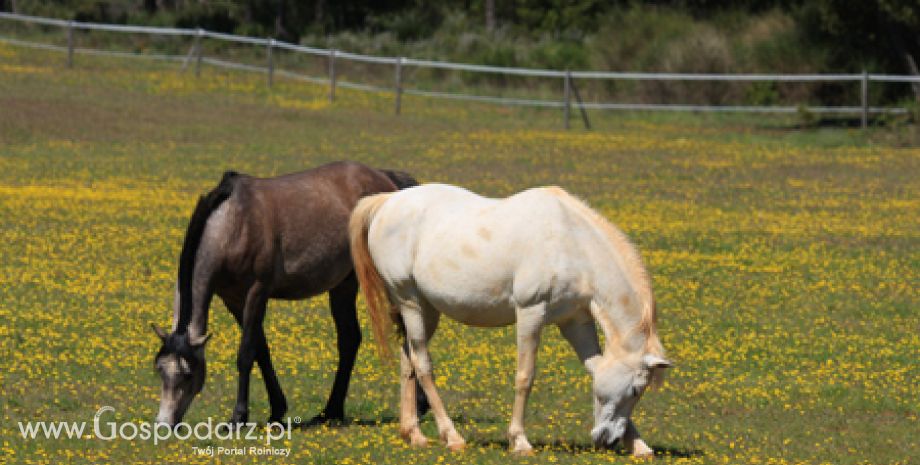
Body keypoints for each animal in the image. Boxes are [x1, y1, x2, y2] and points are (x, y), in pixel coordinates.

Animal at [153, 161, 418, 426]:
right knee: (349, 339)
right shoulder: (234, 300)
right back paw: (330, 412)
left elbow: (246, 353)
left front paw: (239, 417)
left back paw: (419, 408)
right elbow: (261, 351)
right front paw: (277, 410)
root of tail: (387, 179)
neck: (232, 223)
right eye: (159, 370)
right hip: (344, 284)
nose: (164, 424)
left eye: (188, 374)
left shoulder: (257, 293)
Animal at [348, 183, 672, 454]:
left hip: (426, 310)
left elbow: (595, 369)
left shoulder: (574, 321)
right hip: (410, 300)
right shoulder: (531, 312)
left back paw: (413, 434)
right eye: (635, 389)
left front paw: (640, 446)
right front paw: (519, 440)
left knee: (408, 359)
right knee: (423, 364)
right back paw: (452, 437)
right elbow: (525, 376)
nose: (608, 439)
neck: (570, 242)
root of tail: (387, 202)